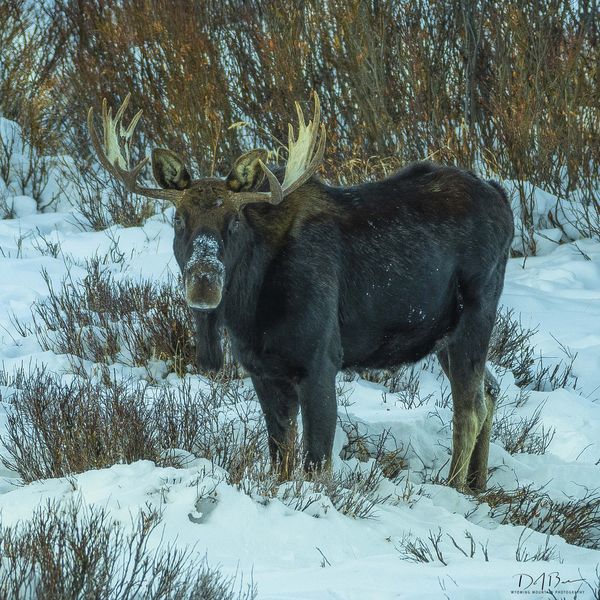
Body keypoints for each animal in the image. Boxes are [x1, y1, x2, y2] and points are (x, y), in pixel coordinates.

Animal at [88, 92, 510, 488]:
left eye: (234, 221)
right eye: (178, 218)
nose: (203, 281)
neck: (249, 310)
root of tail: (504, 199)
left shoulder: (321, 361)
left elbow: (316, 462)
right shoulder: (262, 371)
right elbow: (281, 456)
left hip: (476, 315)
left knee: (470, 408)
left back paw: (454, 486)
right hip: (445, 334)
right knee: (490, 390)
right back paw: (478, 484)